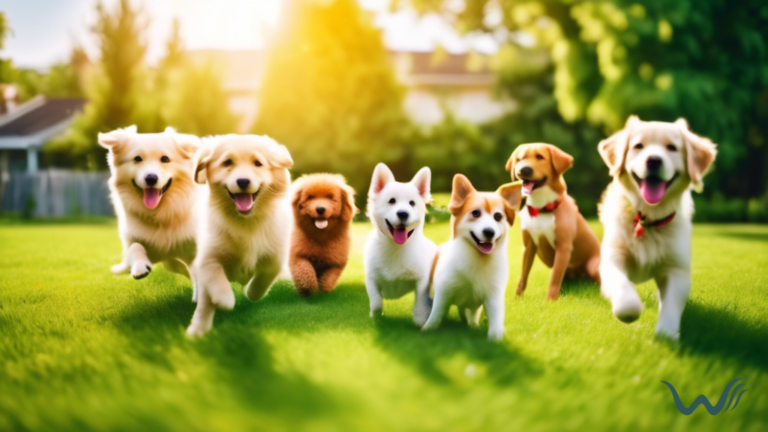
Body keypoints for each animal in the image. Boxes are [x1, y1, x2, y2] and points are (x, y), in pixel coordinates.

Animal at [97, 123, 202, 296]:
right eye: (137, 159)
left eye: (165, 159)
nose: (151, 178)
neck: (159, 214)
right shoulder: (134, 240)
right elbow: (135, 247)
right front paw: (140, 267)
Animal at [364, 164, 436, 326]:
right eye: (391, 201)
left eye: (412, 203)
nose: (403, 213)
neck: (396, 248)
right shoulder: (371, 278)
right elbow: (376, 301)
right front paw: (376, 316)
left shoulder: (422, 280)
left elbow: (420, 301)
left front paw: (420, 318)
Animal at [508, 144, 604, 300]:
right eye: (519, 159)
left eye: (540, 157)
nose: (523, 170)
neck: (542, 208)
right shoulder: (528, 246)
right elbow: (523, 277)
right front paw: (517, 299)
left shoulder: (563, 248)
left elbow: (554, 279)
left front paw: (549, 301)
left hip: (594, 266)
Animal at [596, 116, 716, 340]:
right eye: (638, 146)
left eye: (672, 147)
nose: (653, 160)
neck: (648, 218)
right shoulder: (612, 257)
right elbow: (621, 284)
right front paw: (629, 309)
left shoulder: (676, 268)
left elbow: (672, 304)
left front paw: (667, 332)